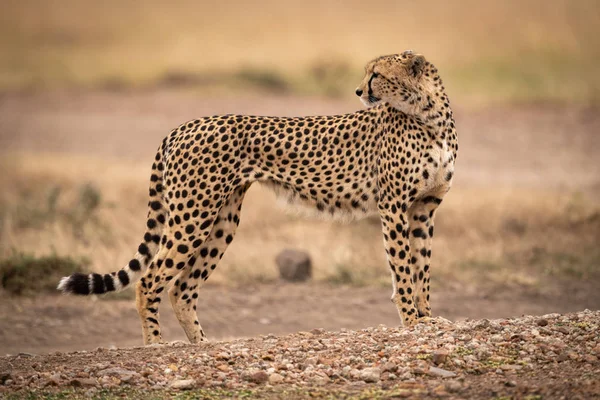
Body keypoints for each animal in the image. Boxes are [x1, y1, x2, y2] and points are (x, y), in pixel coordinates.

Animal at [58, 50, 458, 344]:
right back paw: (156, 346)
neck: (429, 116)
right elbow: (404, 269)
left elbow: (422, 268)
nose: (359, 92)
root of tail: (184, 125)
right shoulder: (394, 207)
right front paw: (411, 322)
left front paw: (426, 318)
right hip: (193, 216)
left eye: (377, 74)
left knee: (182, 288)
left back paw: (201, 346)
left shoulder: (424, 208)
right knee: (150, 280)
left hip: (222, 220)